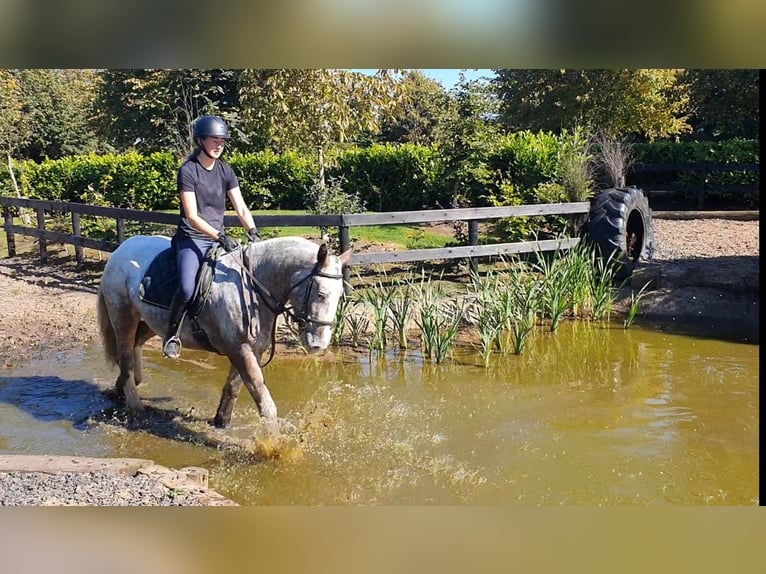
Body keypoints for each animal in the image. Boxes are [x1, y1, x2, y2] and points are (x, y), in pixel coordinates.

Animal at [96, 236, 354, 434]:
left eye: (340, 295)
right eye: (321, 294)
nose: (318, 344)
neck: (253, 287)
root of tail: (121, 249)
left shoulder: (249, 350)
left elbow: (234, 387)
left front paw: (221, 421)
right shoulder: (240, 350)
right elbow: (263, 399)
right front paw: (276, 446)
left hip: (150, 321)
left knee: (134, 348)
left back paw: (123, 387)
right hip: (123, 317)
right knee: (125, 357)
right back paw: (134, 404)